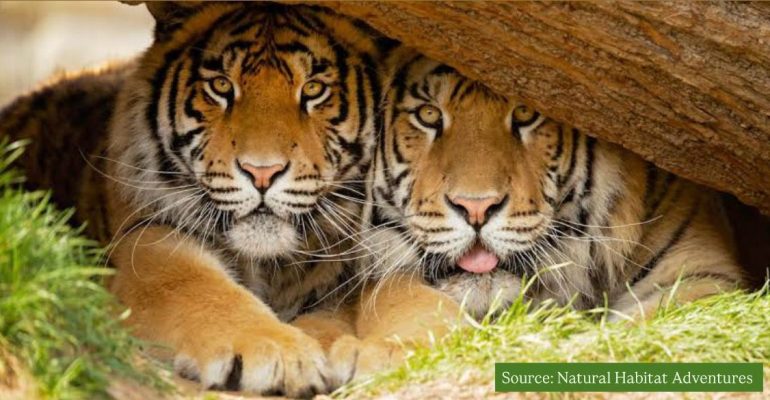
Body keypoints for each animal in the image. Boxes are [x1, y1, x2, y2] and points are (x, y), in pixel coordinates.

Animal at [0, 2, 397, 396]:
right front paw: (280, 353)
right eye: (221, 86)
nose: (262, 172)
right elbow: (198, 288)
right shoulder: (147, 241)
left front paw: (348, 351)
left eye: (314, 89)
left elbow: (332, 317)